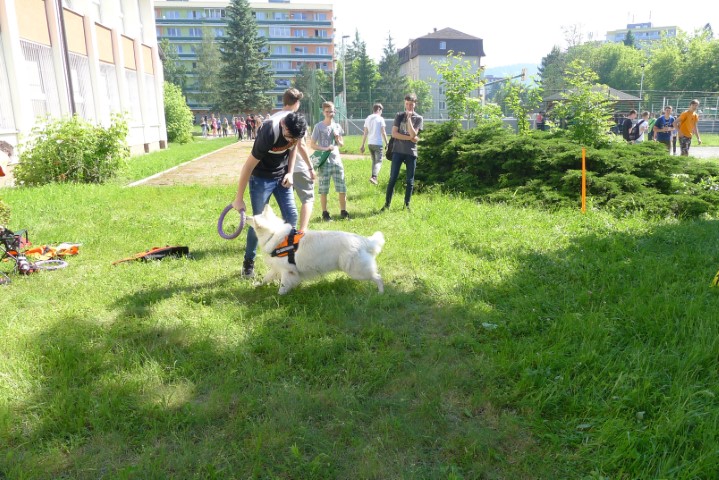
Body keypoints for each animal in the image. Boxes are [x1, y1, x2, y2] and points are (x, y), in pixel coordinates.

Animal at [246, 204, 385, 295]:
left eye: (253, 218)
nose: (245, 216)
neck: (275, 235)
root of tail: (364, 241)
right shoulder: (277, 268)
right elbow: (265, 278)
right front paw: (258, 285)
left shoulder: (287, 271)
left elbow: (283, 286)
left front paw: (279, 296)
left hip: (357, 271)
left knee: (378, 277)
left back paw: (380, 292)